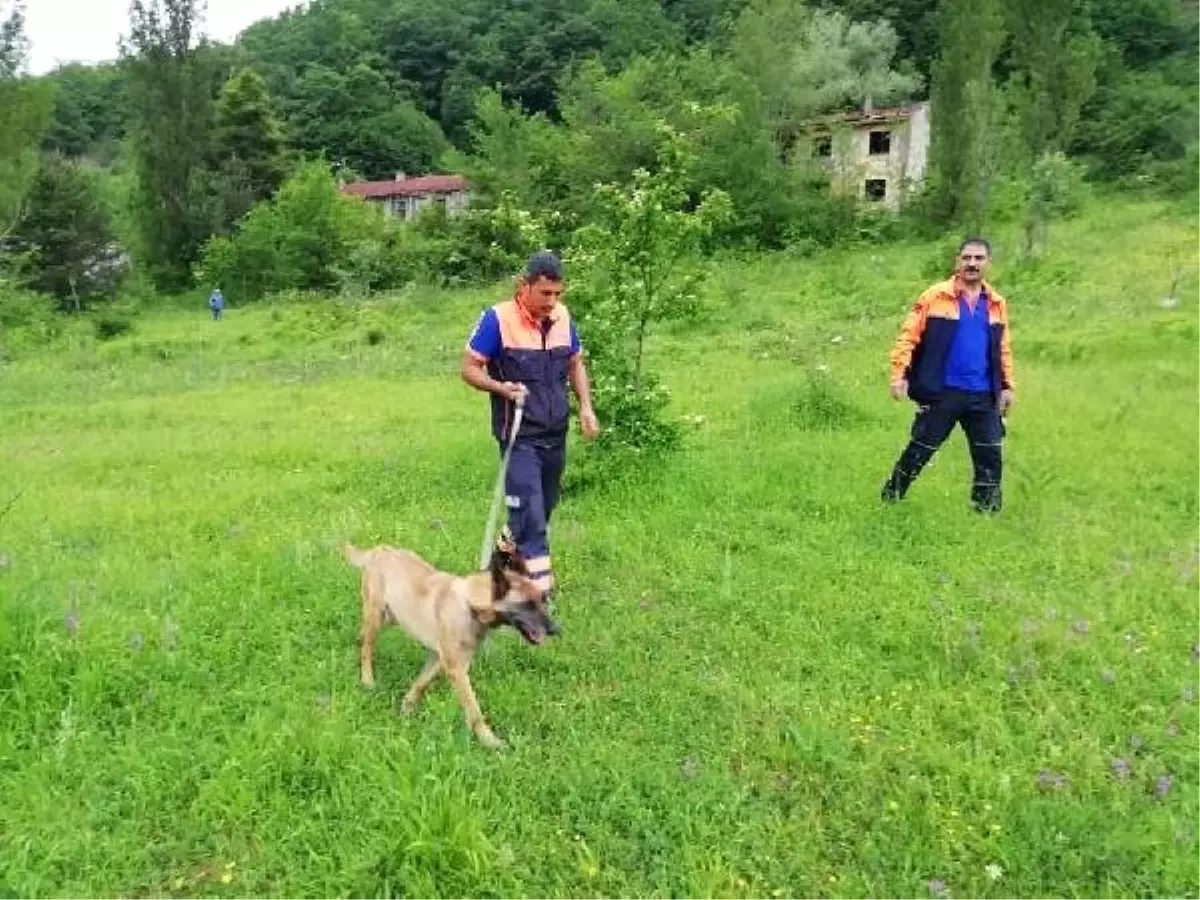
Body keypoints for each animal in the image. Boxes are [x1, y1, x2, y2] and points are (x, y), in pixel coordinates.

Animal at [340, 540, 559, 748]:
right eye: (527, 605)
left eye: (542, 600)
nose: (556, 630)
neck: (470, 604)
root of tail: (381, 550)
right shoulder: (456, 669)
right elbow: (473, 710)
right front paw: (489, 740)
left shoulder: (440, 657)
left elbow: (421, 684)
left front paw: (406, 708)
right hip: (377, 615)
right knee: (367, 648)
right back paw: (367, 679)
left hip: (390, 617)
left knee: (362, 638)